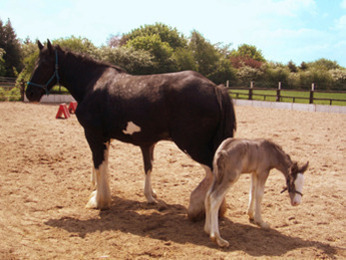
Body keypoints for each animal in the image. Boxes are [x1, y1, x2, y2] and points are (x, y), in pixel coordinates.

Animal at [25, 40, 237, 219]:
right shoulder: (105, 138)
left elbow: (99, 165)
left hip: (191, 145)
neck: (92, 84)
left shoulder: (93, 135)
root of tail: (215, 88)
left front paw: (99, 201)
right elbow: (105, 165)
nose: (30, 93)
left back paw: (198, 208)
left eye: (43, 65)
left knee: (212, 172)